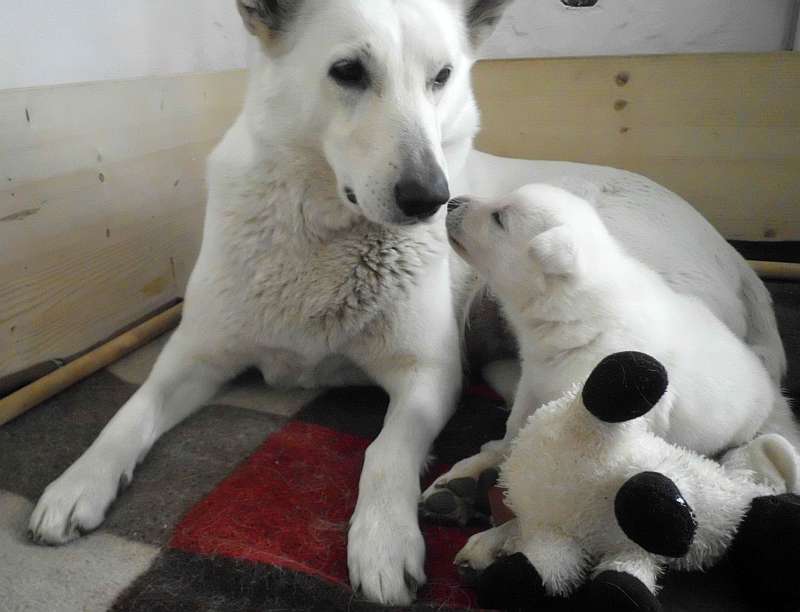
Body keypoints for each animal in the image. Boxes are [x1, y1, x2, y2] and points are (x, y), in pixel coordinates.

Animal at [29, 0, 788, 604]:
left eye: (442, 76)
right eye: (347, 72)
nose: (434, 198)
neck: (325, 234)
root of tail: (738, 264)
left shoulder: (428, 375)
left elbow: (383, 451)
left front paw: (382, 540)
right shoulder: (194, 354)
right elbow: (130, 414)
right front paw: (76, 484)